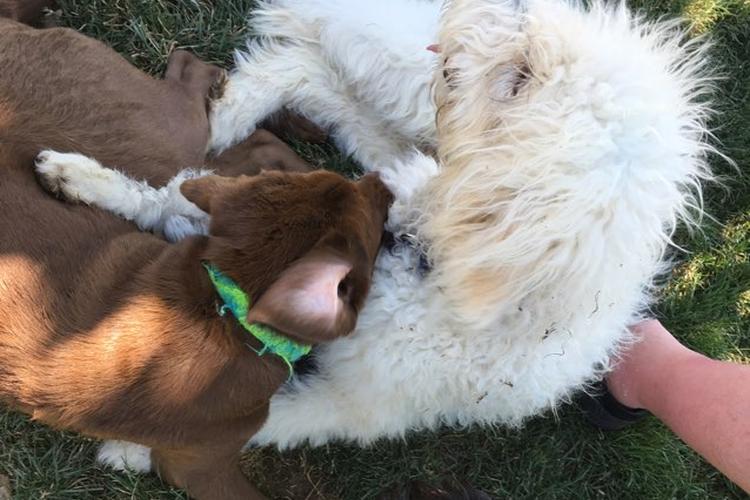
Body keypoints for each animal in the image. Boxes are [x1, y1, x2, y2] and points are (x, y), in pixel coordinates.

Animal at [0, 8, 392, 499]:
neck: (228, 305)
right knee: (199, 84)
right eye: (369, 226)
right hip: (157, 122)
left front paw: (74, 176)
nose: (384, 184)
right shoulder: (204, 468)